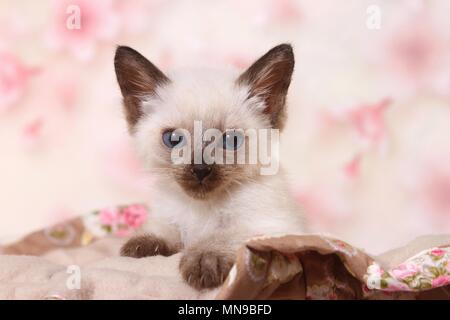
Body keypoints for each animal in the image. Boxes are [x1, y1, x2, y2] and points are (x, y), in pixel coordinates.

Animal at [114, 43, 304, 292]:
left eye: (230, 141)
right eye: (173, 139)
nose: (201, 169)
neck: (201, 209)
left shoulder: (274, 227)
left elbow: (226, 234)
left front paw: (205, 262)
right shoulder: (169, 214)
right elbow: (167, 228)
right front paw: (142, 244)